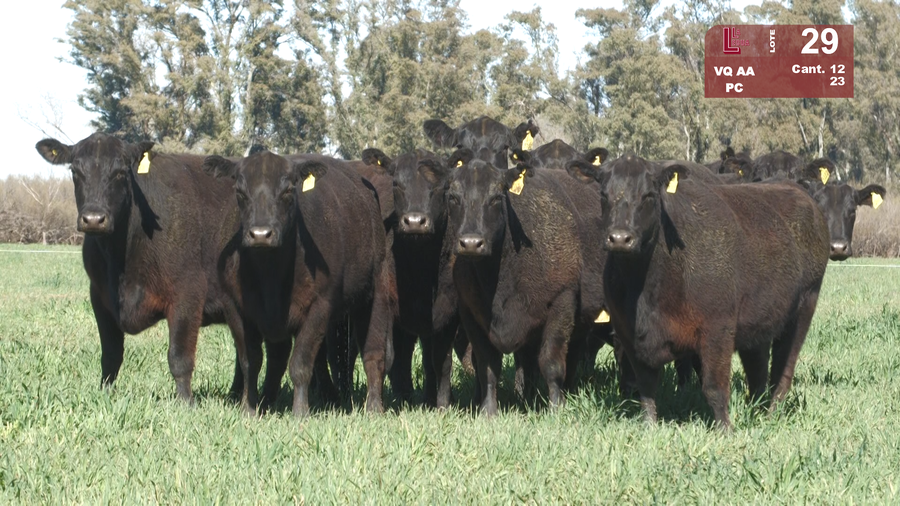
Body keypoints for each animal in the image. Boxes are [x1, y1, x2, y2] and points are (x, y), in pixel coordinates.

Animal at [34, 133, 247, 404]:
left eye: (121, 172)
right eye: (75, 170)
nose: (93, 219)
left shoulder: (188, 293)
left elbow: (179, 358)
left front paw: (185, 403)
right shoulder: (99, 298)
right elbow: (111, 355)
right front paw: (105, 396)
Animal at [202, 151, 392, 416]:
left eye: (289, 190)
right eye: (239, 191)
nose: (261, 234)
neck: (270, 273)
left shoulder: (320, 306)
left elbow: (301, 363)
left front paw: (300, 411)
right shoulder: (235, 308)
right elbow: (250, 362)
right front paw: (248, 408)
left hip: (375, 294)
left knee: (373, 353)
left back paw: (373, 406)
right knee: (279, 357)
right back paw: (268, 401)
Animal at [446, 149, 607, 415]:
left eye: (496, 197)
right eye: (453, 197)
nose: (471, 243)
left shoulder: (561, 303)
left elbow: (551, 362)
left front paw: (556, 407)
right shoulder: (469, 312)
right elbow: (487, 365)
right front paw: (488, 410)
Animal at [569, 154, 829, 429]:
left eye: (649, 195)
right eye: (603, 194)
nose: (620, 238)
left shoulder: (718, 329)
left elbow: (714, 387)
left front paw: (724, 429)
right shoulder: (628, 333)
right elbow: (646, 387)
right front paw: (649, 425)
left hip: (804, 307)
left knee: (783, 371)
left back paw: (771, 415)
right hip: (760, 318)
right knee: (757, 370)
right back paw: (756, 410)